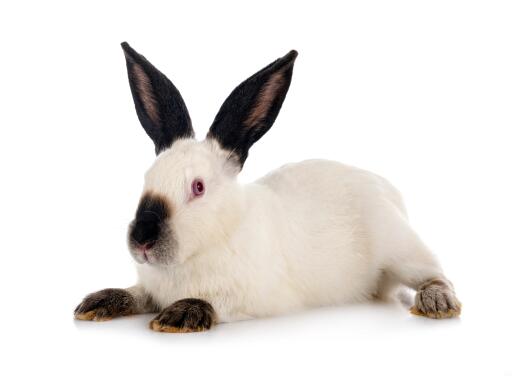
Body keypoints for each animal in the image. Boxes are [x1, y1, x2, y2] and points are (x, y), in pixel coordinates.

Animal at [74, 42, 462, 334]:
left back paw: (437, 304)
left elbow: (213, 302)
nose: (142, 239)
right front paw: (98, 303)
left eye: (198, 187)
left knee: (434, 273)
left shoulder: (253, 296)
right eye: (147, 178)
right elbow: (137, 294)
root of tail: (386, 188)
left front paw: (178, 316)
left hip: (399, 248)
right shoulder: (151, 288)